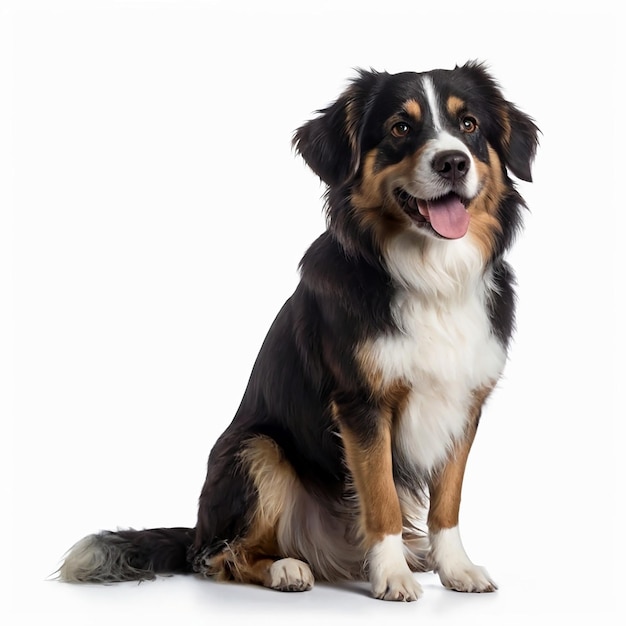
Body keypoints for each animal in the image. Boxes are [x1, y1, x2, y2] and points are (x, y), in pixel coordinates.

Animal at [57, 62, 536, 600]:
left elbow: (447, 501)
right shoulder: (360, 403)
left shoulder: (464, 400)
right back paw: (287, 568)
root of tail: (197, 528)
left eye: (469, 124)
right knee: (220, 555)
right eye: (400, 128)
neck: (431, 276)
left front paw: (456, 569)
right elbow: (381, 499)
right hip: (256, 450)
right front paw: (392, 576)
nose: (453, 162)